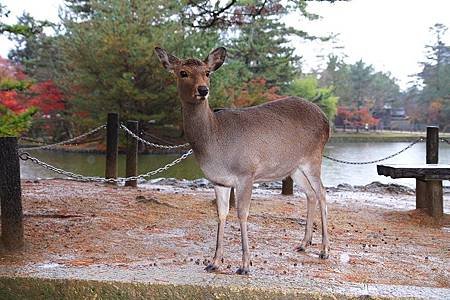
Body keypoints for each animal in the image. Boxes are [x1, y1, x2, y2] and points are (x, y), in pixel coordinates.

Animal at [156, 46, 330, 274]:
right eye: (183, 72)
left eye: (207, 73)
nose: (203, 90)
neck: (215, 141)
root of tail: (327, 121)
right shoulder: (218, 180)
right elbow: (221, 214)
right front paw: (214, 262)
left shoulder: (246, 173)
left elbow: (242, 213)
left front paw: (245, 265)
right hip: (294, 168)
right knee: (310, 194)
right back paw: (303, 244)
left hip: (313, 158)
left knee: (322, 193)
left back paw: (324, 250)